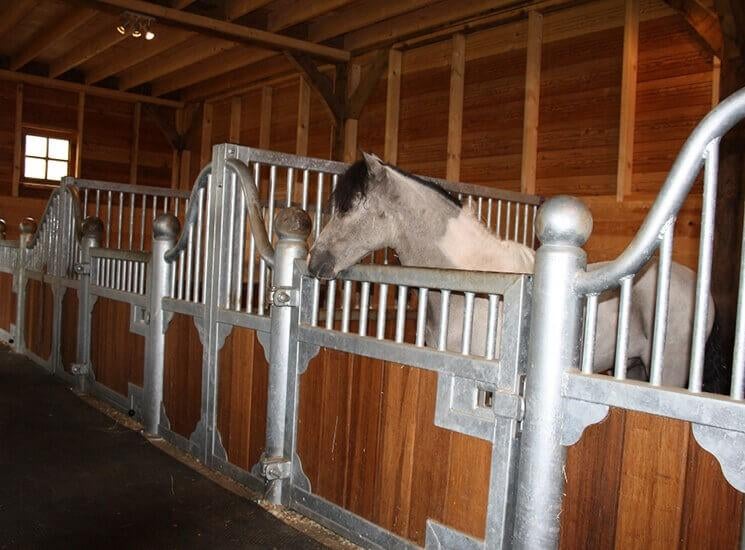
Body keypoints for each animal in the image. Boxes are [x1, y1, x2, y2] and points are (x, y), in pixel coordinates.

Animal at [308, 152, 727, 391]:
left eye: (349, 208)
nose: (314, 263)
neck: (471, 283)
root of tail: (699, 288)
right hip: (635, 367)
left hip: (667, 371)